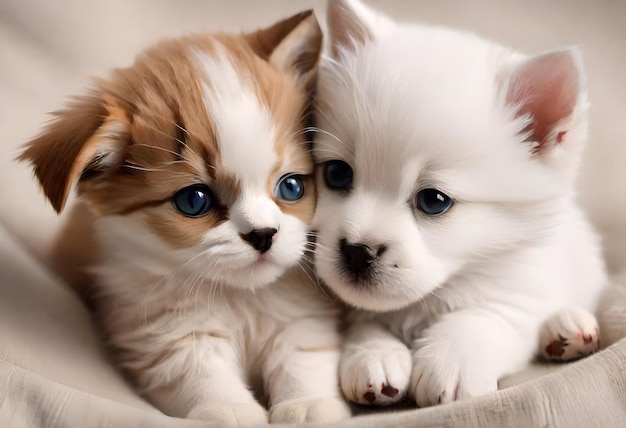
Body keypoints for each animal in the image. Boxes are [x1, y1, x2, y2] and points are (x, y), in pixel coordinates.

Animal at [19, 10, 348, 424]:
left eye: (291, 187)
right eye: (194, 200)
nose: (263, 234)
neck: (239, 299)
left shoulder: (300, 315)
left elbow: (303, 356)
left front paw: (307, 405)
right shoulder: (166, 335)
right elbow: (201, 374)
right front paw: (230, 410)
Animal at [312, 0, 604, 408]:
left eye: (434, 201)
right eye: (337, 174)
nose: (356, 252)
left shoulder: (517, 292)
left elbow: (481, 317)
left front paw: (450, 363)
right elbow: (363, 319)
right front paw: (374, 354)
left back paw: (568, 326)